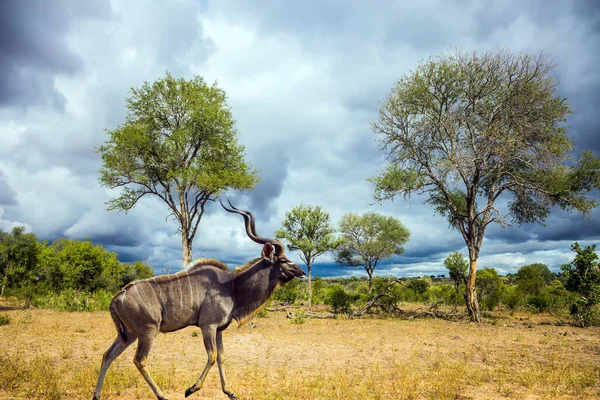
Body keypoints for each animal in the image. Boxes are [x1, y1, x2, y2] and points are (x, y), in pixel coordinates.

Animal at [92, 202, 304, 398]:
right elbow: (212, 356)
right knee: (139, 359)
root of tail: (118, 297)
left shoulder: (219, 329)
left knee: (107, 355)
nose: (301, 272)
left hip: (129, 334)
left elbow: (221, 357)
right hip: (148, 331)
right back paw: (162, 395)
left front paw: (230, 392)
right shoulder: (207, 326)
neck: (232, 287)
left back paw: (96, 395)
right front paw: (191, 389)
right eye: (283, 260)